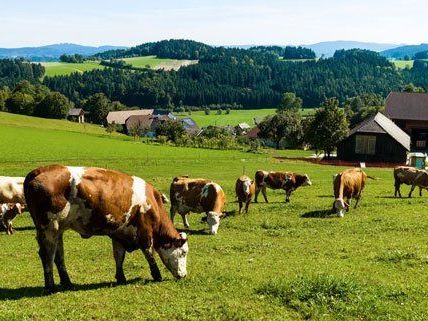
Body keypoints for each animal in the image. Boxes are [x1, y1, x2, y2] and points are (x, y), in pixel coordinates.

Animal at [23, 165, 189, 292]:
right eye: (183, 252)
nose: (184, 275)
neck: (153, 202)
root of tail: (39, 171)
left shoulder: (119, 233)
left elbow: (119, 256)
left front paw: (121, 277)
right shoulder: (145, 232)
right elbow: (149, 254)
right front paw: (157, 275)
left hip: (58, 230)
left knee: (59, 256)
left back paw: (68, 283)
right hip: (50, 227)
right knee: (47, 255)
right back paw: (50, 287)